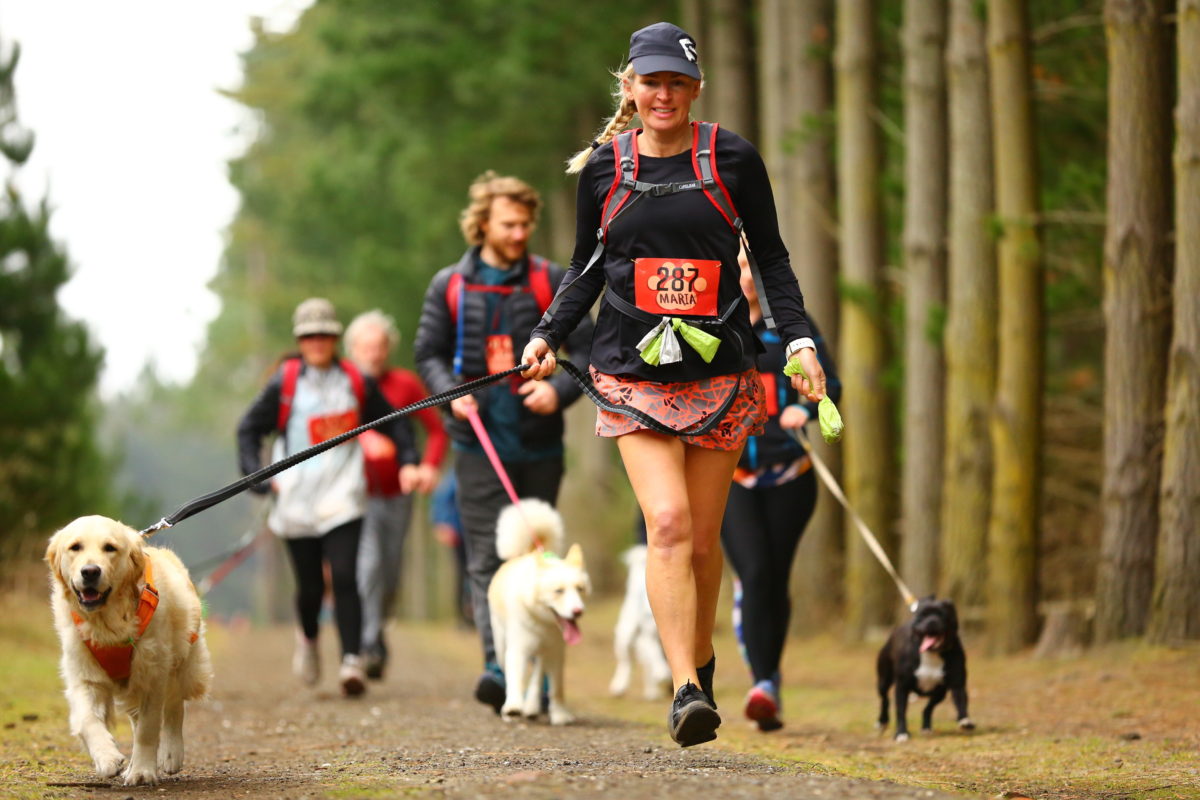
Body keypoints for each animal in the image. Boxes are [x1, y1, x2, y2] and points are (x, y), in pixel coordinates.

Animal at [44, 515, 212, 786]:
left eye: (110, 548)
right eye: (75, 547)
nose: (90, 571)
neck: (108, 622)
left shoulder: (152, 674)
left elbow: (148, 728)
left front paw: (143, 771)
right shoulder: (84, 675)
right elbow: (86, 720)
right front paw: (107, 758)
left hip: (185, 663)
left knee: (175, 703)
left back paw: (171, 754)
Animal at [487, 501, 590, 724]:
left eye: (580, 589)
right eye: (558, 591)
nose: (578, 611)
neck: (544, 624)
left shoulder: (557, 652)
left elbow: (556, 688)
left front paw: (559, 714)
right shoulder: (517, 649)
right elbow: (516, 679)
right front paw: (513, 707)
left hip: (543, 652)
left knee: (537, 675)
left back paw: (532, 706)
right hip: (501, 643)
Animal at [609, 544, 676, 700]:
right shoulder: (649, 637)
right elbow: (655, 655)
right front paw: (662, 672)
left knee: (646, 667)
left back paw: (651, 691)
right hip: (625, 636)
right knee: (625, 663)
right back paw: (619, 686)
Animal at [883, 597, 974, 743]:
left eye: (942, 614)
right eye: (922, 615)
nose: (932, 621)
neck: (932, 653)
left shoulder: (957, 683)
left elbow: (961, 700)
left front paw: (964, 720)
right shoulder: (902, 686)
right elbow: (901, 711)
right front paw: (901, 733)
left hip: (940, 693)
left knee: (928, 708)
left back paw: (926, 727)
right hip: (883, 680)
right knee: (884, 699)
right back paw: (882, 721)